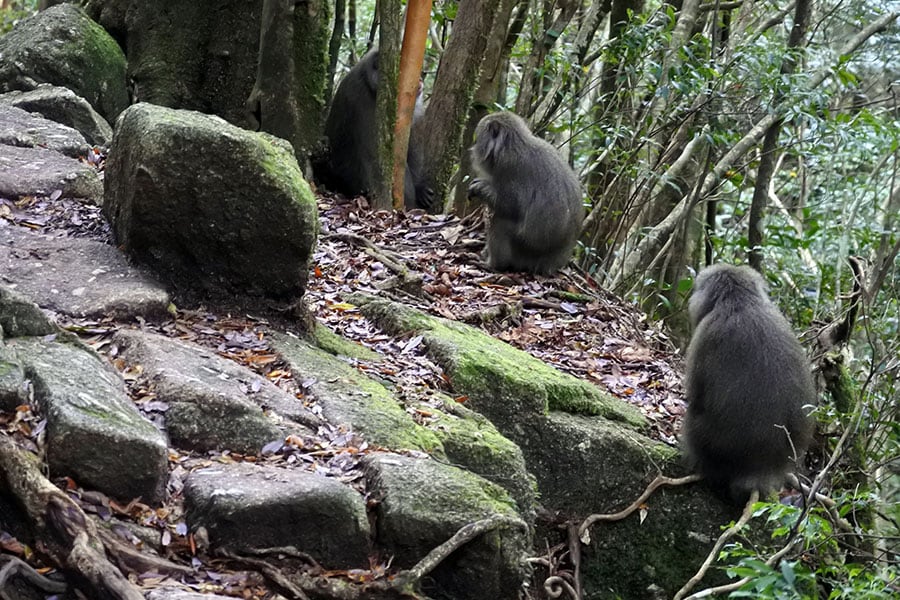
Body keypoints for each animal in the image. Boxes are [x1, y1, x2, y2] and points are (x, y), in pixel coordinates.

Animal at [464, 111, 584, 276]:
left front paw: (481, 188)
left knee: (500, 222)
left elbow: (511, 206)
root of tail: (551, 265)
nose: (472, 149)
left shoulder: (510, 167)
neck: (511, 145)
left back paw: (495, 264)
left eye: (478, 139)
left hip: (525, 249)